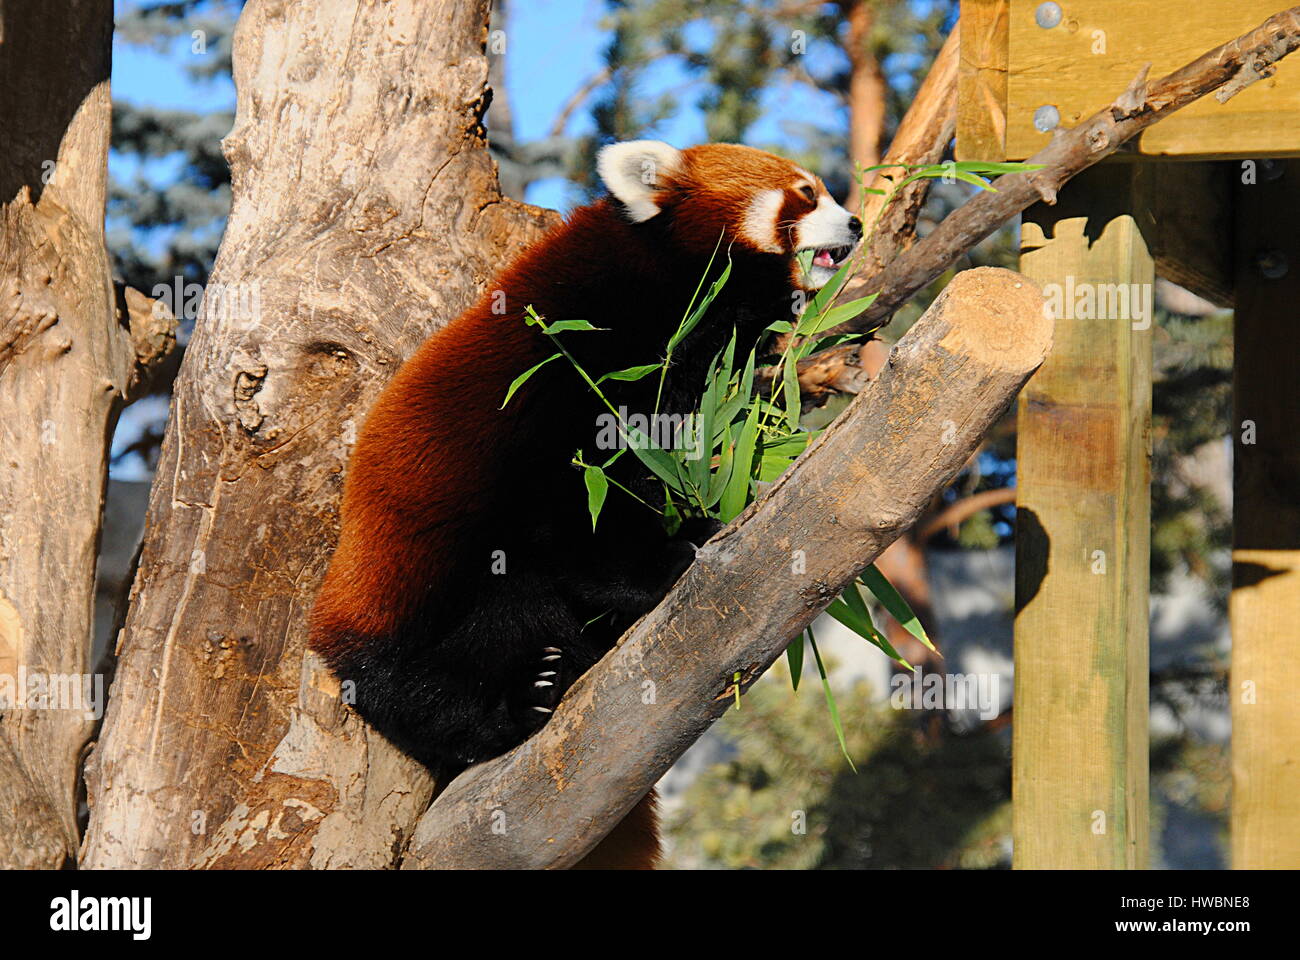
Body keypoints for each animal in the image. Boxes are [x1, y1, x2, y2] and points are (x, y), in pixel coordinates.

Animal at [306, 141, 863, 868]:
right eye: (805, 193)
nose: (855, 223)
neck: (667, 283)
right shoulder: (565, 365)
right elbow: (578, 510)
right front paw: (662, 559)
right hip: (403, 592)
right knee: (425, 675)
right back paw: (518, 704)